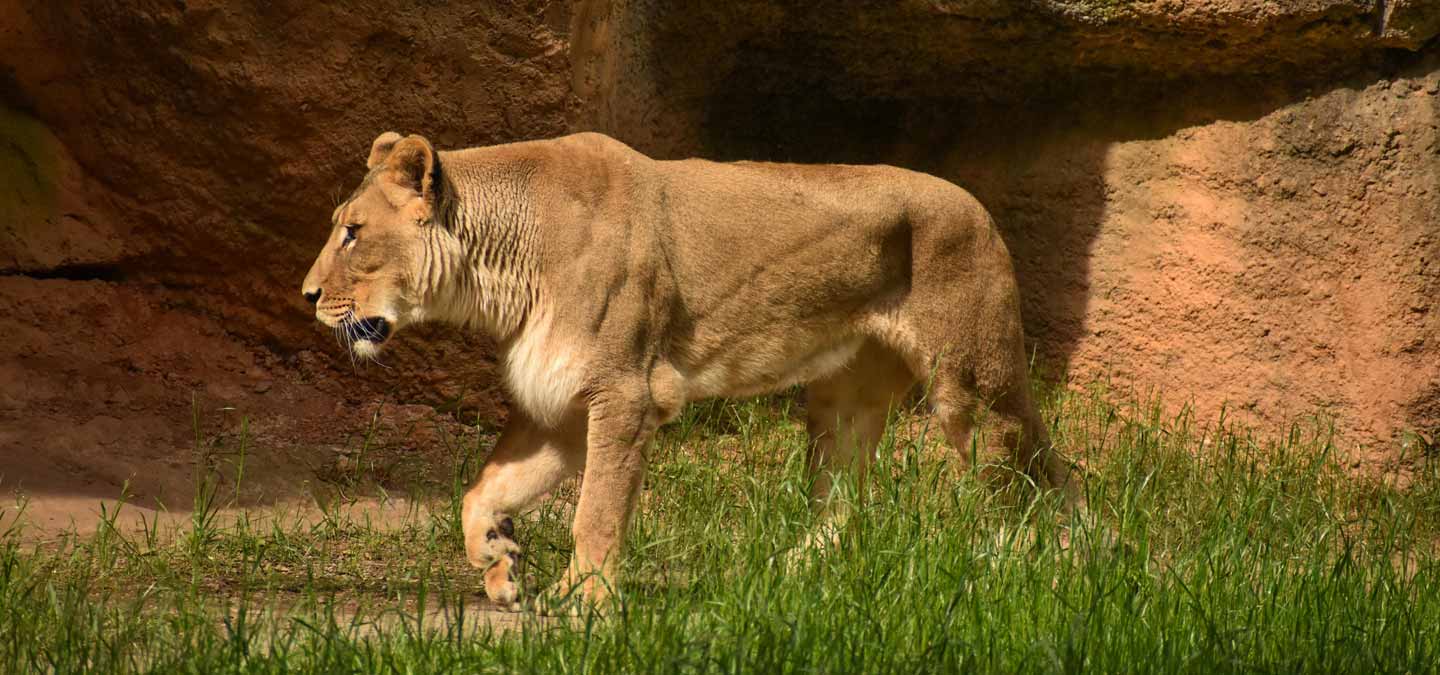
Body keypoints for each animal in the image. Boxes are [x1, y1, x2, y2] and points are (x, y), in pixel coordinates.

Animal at [301, 130, 1074, 608]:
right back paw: (783, 582)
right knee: (845, 504)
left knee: (1026, 477)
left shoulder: (625, 391)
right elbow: (481, 492)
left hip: (973, 384)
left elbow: (596, 511)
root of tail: (981, 207)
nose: (306, 296)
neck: (500, 268)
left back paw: (1031, 572)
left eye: (353, 233)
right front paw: (500, 566)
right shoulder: (563, 404)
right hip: (842, 405)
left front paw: (584, 601)